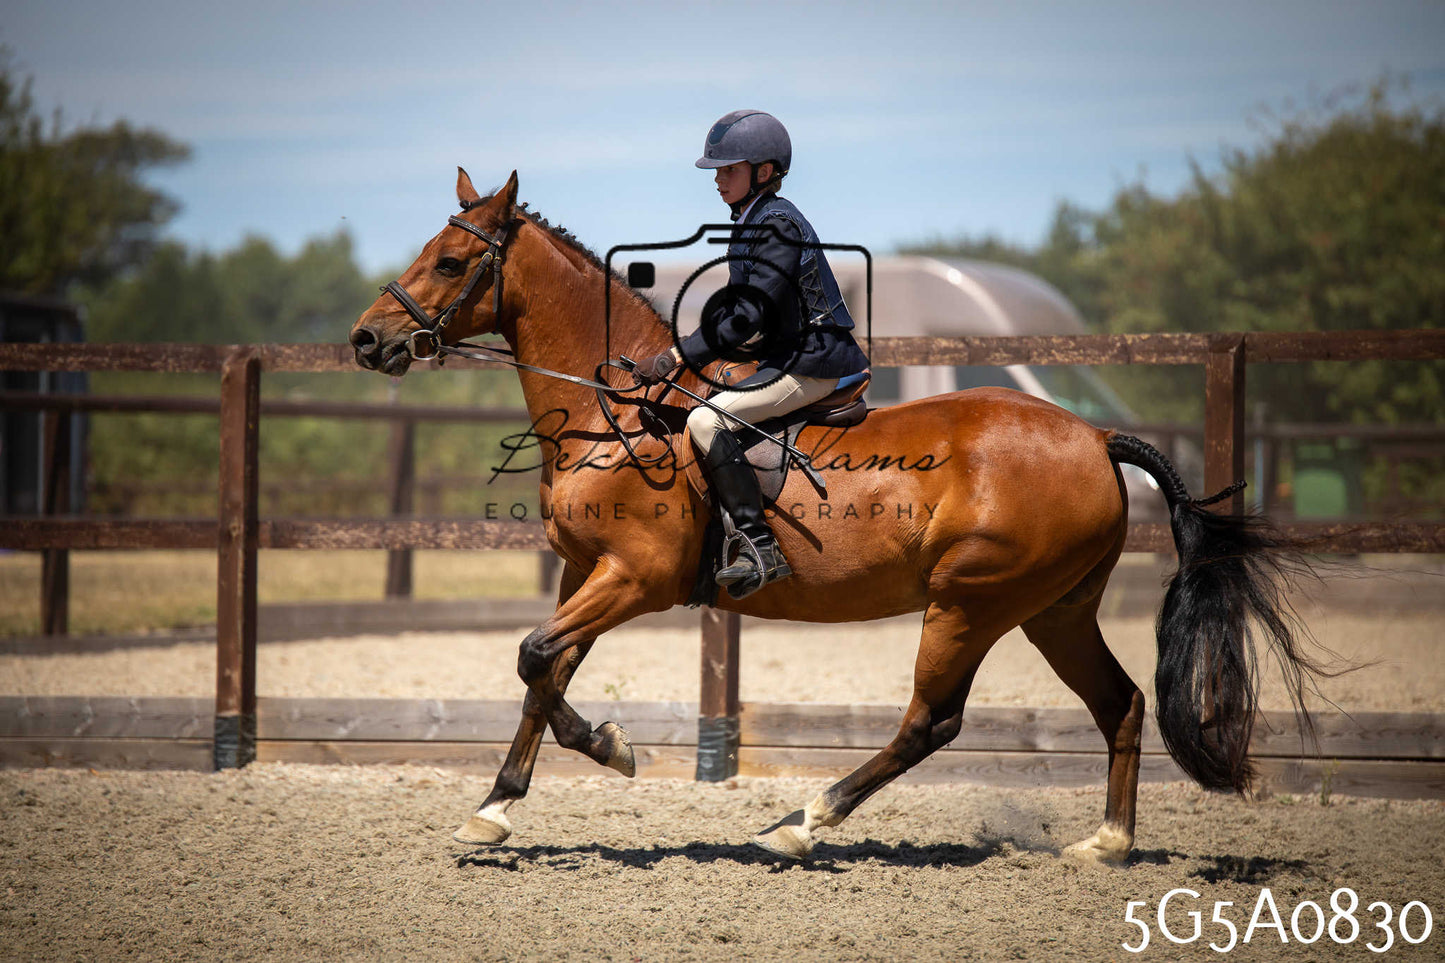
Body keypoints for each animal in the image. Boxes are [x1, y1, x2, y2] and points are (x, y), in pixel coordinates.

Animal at [349, 168, 1324, 863]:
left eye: (448, 261)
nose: (365, 340)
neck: (616, 414)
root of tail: (1090, 435)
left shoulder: (635, 577)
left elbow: (533, 658)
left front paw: (611, 748)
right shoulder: (583, 572)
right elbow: (542, 670)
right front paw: (493, 809)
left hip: (968, 602)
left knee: (930, 721)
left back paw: (802, 821)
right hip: (1052, 608)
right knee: (1118, 702)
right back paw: (1107, 843)